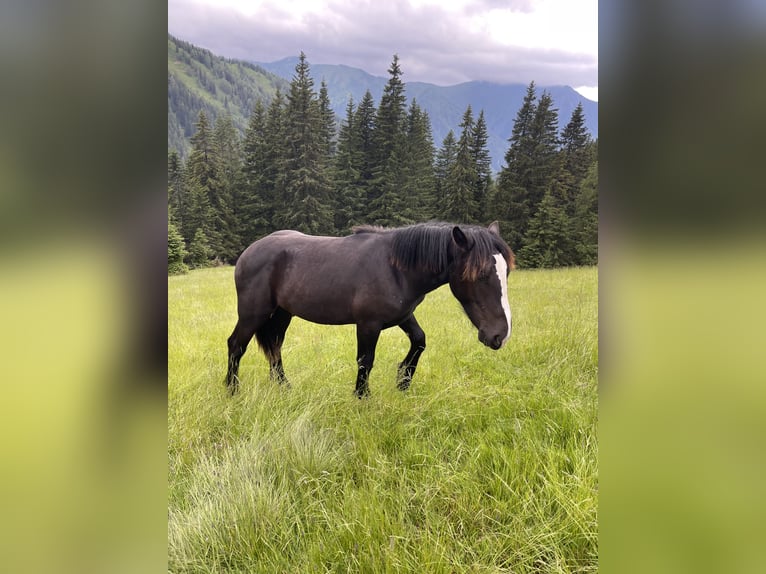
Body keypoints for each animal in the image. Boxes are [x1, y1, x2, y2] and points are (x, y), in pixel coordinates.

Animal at [226, 223, 516, 398]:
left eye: (507, 272)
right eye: (480, 275)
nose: (500, 335)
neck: (396, 268)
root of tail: (249, 252)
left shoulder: (403, 316)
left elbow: (419, 341)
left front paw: (403, 379)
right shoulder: (368, 324)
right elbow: (365, 361)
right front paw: (362, 397)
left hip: (282, 313)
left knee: (274, 347)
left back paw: (284, 388)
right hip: (254, 313)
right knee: (236, 345)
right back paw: (232, 390)